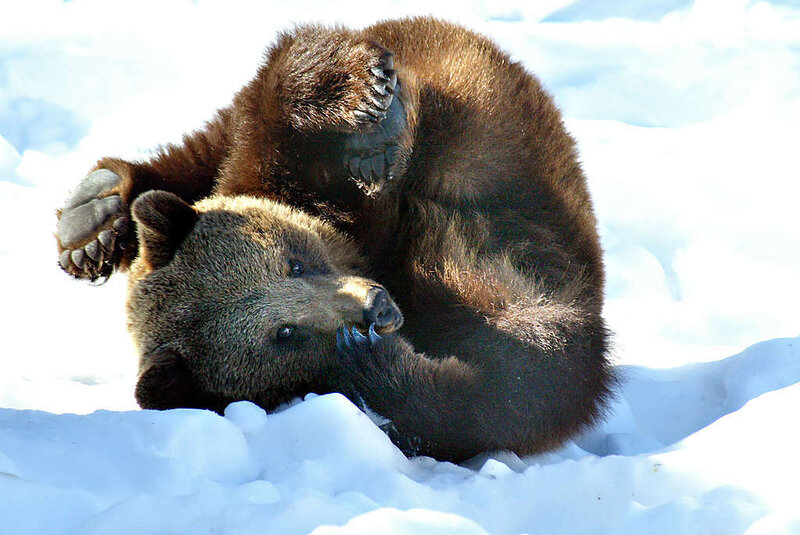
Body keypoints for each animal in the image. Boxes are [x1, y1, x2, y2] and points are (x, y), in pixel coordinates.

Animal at [56, 17, 615, 462]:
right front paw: (368, 364)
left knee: (206, 145)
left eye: (293, 263)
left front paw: (367, 107)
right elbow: (515, 377)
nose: (371, 310)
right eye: (284, 335)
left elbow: (532, 351)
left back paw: (95, 215)